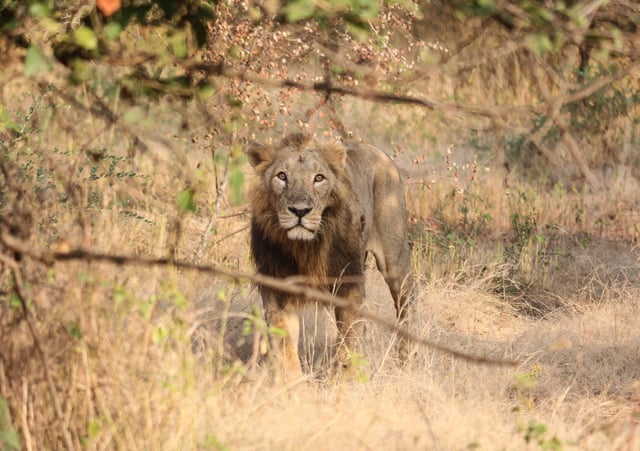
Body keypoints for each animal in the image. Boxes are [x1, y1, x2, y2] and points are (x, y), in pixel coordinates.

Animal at [245, 133, 416, 378]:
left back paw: (406, 359)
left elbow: (347, 344)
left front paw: (342, 381)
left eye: (319, 178)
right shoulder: (277, 290)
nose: (300, 211)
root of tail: (376, 150)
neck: (305, 247)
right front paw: (294, 385)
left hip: (395, 258)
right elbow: (286, 349)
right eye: (282, 176)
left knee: (406, 304)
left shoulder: (349, 286)